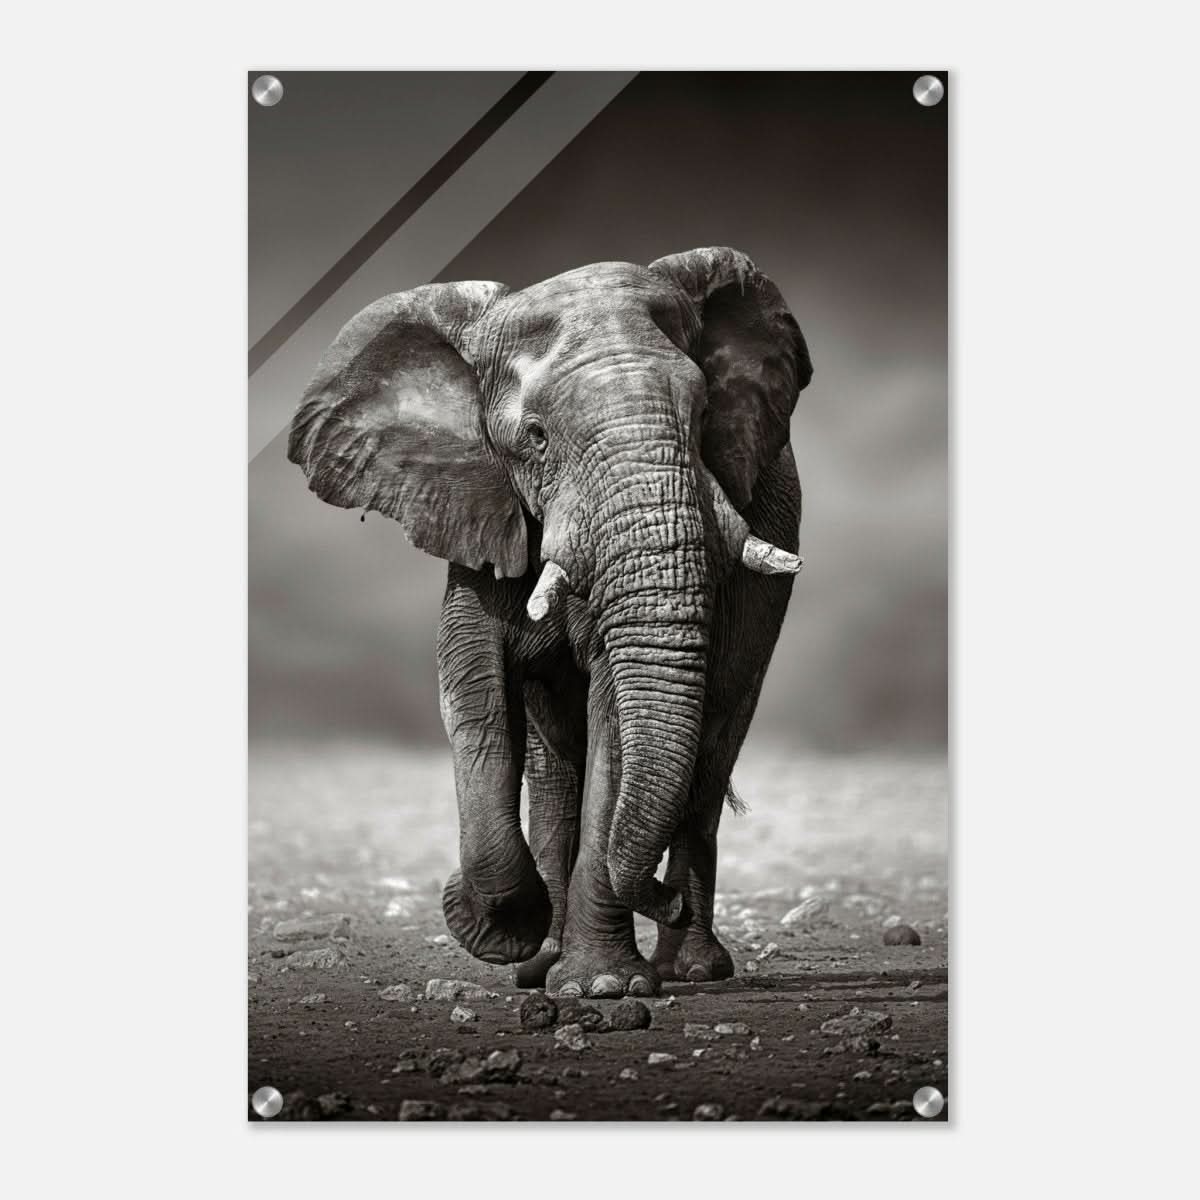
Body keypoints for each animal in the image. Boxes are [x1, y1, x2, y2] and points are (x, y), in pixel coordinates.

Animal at [288, 246, 811, 998]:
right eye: (534, 439)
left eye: (704, 413)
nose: (662, 899)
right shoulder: (478, 508)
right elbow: (474, 694)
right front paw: (501, 929)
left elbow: (614, 716)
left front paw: (603, 987)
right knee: (554, 768)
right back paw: (543, 964)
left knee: (710, 751)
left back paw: (689, 968)